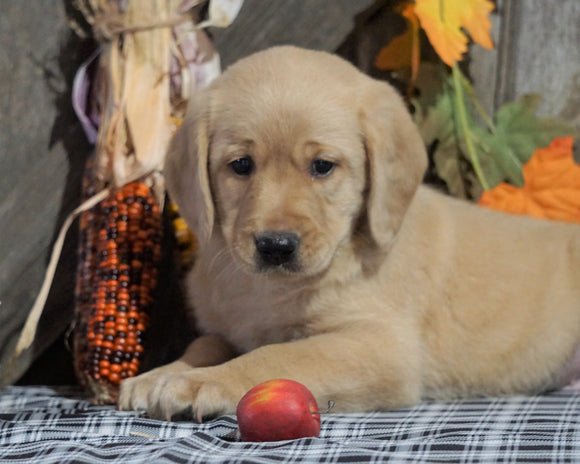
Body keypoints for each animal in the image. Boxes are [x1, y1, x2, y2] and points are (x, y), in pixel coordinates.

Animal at [118, 47, 580, 420]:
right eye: (241, 165)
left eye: (322, 166)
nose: (275, 246)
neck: (267, 292)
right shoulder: (224, 328)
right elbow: (204, 345)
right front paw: (160, 374)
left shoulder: (379, 345)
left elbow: (277, 355)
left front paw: (202, 382)